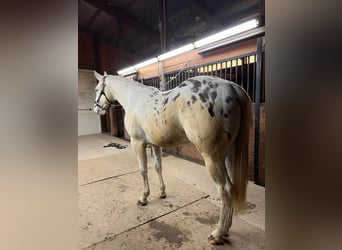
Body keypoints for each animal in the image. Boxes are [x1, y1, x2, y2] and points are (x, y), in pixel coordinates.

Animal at [93, 70, 251, 244]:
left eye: (96, 89)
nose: (96, 109)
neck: (134, 98)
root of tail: (231, 86)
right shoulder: (155, 144)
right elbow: (157, 167)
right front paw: (162, 193)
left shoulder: (138, 143)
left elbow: (143, 170)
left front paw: (143, 198)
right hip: (229, 155)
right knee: (232, 187)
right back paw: (226, 230)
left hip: (212, 157)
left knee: (225, 190)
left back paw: (218, 233)